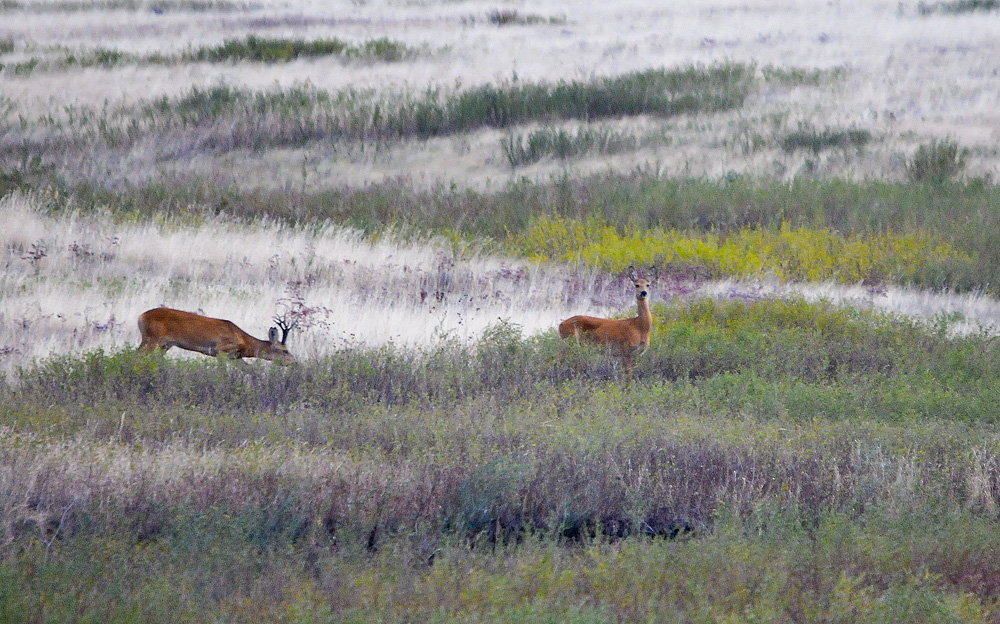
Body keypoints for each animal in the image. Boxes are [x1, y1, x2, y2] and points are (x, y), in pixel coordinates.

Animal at [137, 306, 294, 360]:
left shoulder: (235, 357)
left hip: (164, 345)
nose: (293, 362)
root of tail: (141, 316)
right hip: (152, 339)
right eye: (285, 350)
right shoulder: (219, 350)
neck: (243, 339)